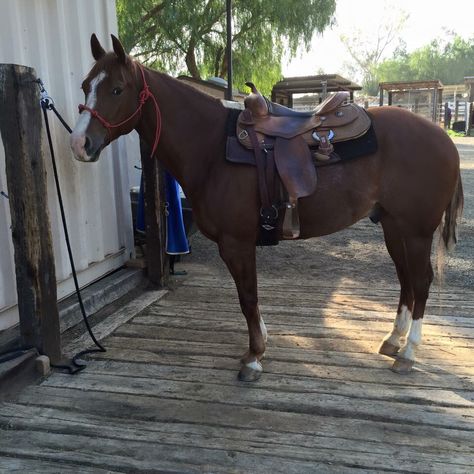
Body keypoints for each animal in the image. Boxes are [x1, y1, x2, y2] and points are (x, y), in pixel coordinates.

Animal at [70, 34, 462, 382]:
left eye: (117, 89)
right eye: (86, 86)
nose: (79, 143)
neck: (211, 146)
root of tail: (443, 138)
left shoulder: (237, 243)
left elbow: (248, 297)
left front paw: (254, 357)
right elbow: (249, 298)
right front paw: (260, 345)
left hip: (416, 231)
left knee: (421, 281)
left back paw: (408, 353)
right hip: (394, 227)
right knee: (406, 280)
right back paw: (393, 340)